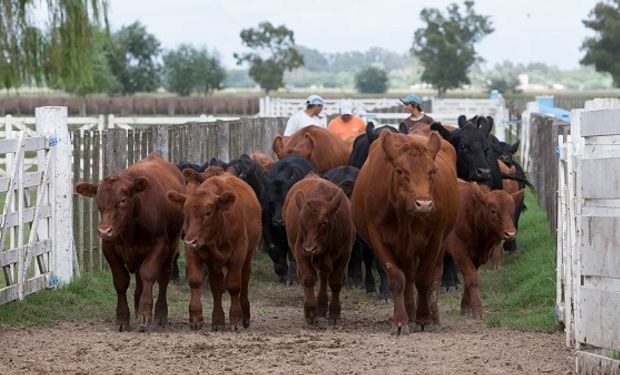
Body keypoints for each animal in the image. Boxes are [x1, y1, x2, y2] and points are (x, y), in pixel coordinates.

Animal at [74, 153, 183, 332]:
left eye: (123, 200)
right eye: (98, 201)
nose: (104, 230)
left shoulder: (159, 245)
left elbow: (148, 274)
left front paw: (145, 313)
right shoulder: (108, 247)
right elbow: (121, 280)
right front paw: (123, 318)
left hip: (172, 246)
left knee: (163, 278)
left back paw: (160, 314)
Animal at [166, 174, 260, 332]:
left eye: (208, 213)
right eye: (185, 213)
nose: (190, 241)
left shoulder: (238, 253)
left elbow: (234, 285)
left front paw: (235, 319)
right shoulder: (192, 251)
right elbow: (196, 281)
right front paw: (196, 318)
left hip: (248, 256)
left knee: (244, 281)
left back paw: (245, 316)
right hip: (213, 264)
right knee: (216, 287)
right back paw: (218, 320)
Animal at [284, 175, 354, 324]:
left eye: (324, 222)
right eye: (301, 222)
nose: (310, 249)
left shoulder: (344, 254)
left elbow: (335, 282)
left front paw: (334, 313)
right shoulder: (300, 251)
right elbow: (308, 279)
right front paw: (310, 312)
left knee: (323, 277)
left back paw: (322, 306)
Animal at [352, 131, 458, 334]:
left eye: (433, 171)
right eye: (399, 171)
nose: (423, 203)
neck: (404, 217)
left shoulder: (435, 239)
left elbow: (424, 279)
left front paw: (424, 318)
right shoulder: (377, 238)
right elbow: (397, 279)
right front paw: (401, 321)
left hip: (441, 243)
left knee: (434, 277)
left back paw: (433, 319)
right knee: (408, 278)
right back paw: (410, 315)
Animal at [446, 181, 524, 318]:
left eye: (512, 210)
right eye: (493, 211)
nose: (510, 234)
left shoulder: (477, 256)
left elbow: (470, 278)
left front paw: (465, 307)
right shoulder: (459, 250)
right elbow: (472, 278)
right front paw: (477, 309)